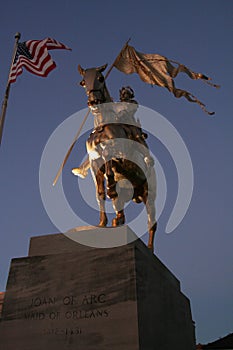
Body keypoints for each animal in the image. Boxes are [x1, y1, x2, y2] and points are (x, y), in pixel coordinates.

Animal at [74, 63, 157, 249]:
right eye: (83, 82)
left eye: (100, 78)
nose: (93, 102)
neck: (102, 127)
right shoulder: (95, 164)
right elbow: (100, 194)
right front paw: (102, 223)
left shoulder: (116, 156)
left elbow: (110, 179)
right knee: (119, 202)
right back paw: (118, 219)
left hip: (150, 194)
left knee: (152, 223)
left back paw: (150, 248)